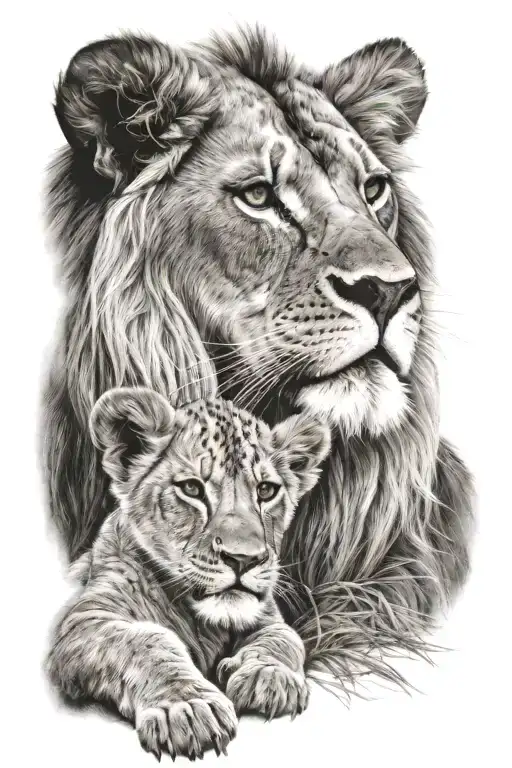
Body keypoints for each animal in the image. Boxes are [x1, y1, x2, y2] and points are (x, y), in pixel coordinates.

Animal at [47, 386, 330, 758]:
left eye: (266, 490)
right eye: (192, 489)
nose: (243, 559)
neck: (200, 621)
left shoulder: (266, 618)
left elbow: (285, 638)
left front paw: (270, 676)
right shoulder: (85, 622)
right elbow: (146, 640)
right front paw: (187, 708)